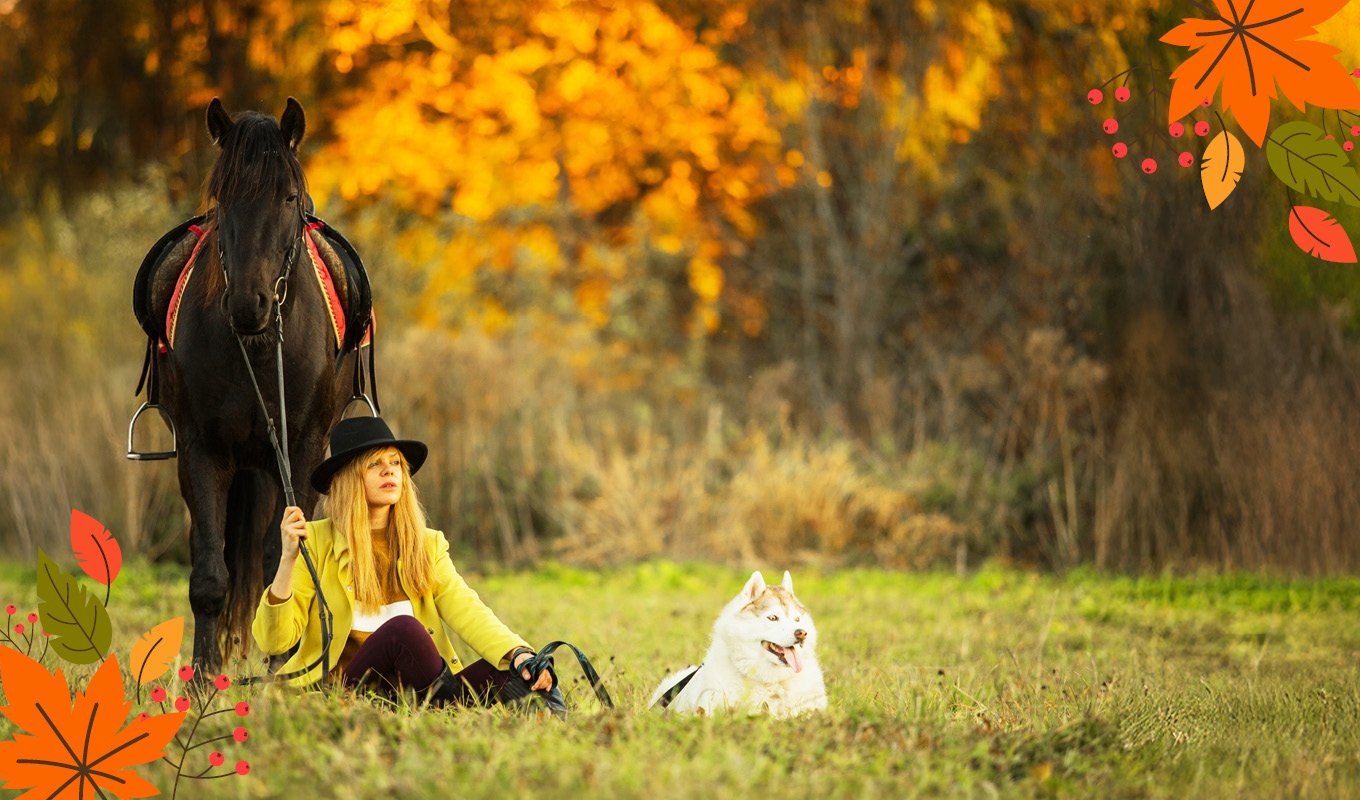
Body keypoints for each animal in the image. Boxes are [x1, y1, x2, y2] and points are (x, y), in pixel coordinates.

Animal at [152, 97, 356, 675]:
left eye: (287, 197)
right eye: (223, 197)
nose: (249, 302)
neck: (259, 346)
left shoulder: (302, 451)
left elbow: (279, 561)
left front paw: (279, 673)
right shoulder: (201, 452)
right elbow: (209, 575)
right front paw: (204, 678)